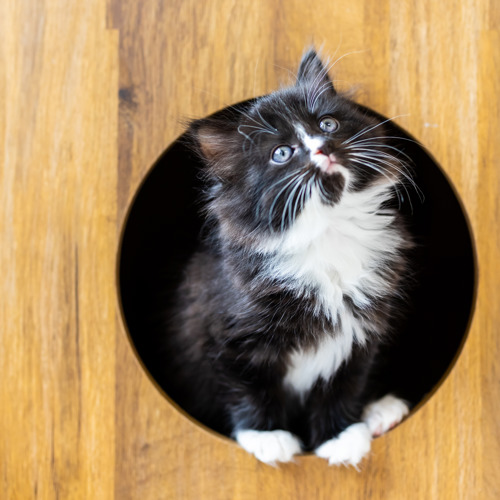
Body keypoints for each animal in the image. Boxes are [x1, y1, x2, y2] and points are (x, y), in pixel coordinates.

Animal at [165, 48, 414, 466]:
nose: (322, 147)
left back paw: (382, 413)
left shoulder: (360, 331)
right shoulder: (228, 335)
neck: (327, 234)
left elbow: (342, 384)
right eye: (282, 153)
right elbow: (249, 386)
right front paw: (267, 437)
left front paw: (339, 436)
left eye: (328, 123)